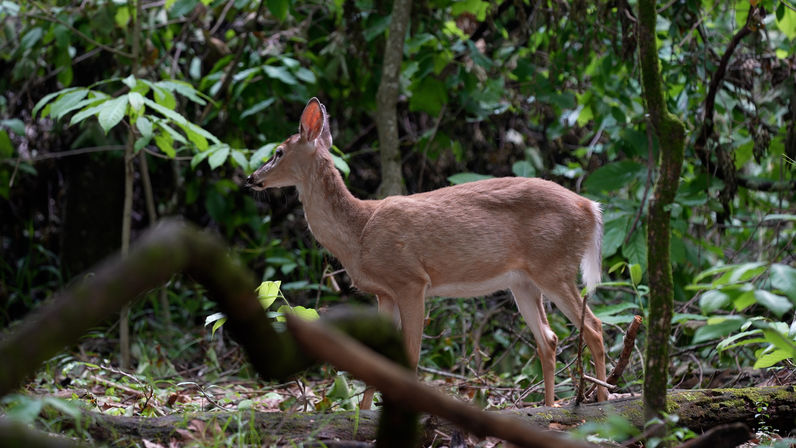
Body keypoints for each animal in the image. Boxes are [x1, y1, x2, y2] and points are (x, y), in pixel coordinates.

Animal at [249, 98, 608, 410]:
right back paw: (549, 407)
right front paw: (363, 413)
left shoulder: (410, 280)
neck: (359, 232)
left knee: (593, 327)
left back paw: (603, 402)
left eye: (278, 152)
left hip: (554, 267)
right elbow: (378, 359)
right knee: (549, 339)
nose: (251, 178)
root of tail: (591, 208)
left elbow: (410, 355)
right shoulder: (384, 293)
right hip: (523, 282)